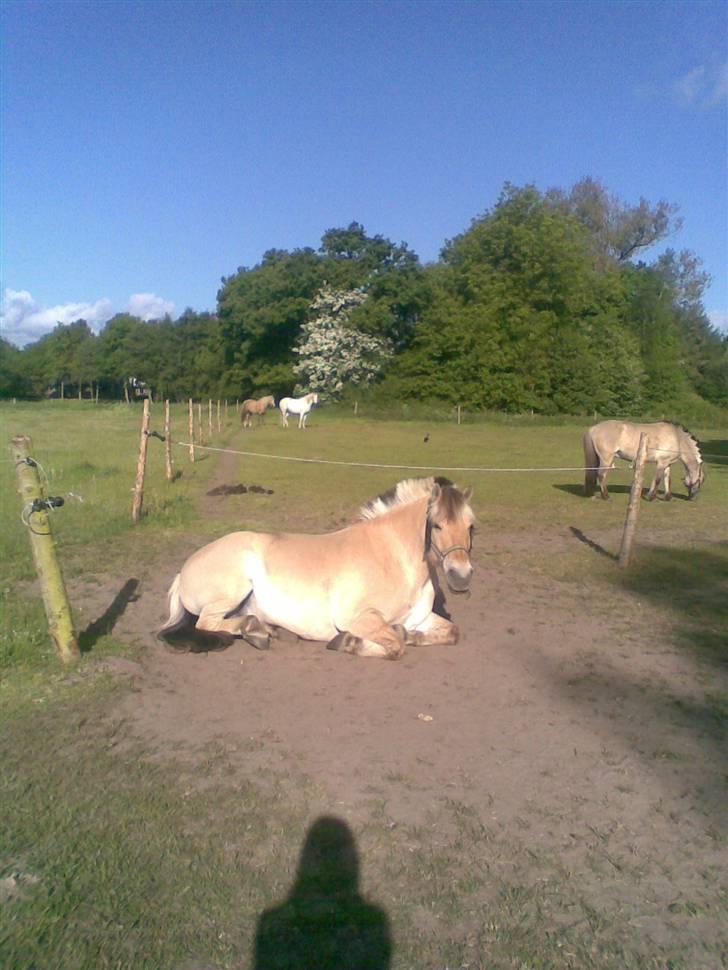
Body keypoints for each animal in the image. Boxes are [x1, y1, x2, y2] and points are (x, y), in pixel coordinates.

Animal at [158, 476, 478, 656]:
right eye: (436, 525)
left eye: (472, 526)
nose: (461, 577)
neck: (393, 558)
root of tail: (182, 573)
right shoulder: (357, 618)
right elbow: (394, 645)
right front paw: (347, 643)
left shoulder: (418, 618)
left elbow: (449, 632)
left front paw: (410, 635)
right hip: (231, 591)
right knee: (207, 624)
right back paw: (256, 631)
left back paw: (263, 630)